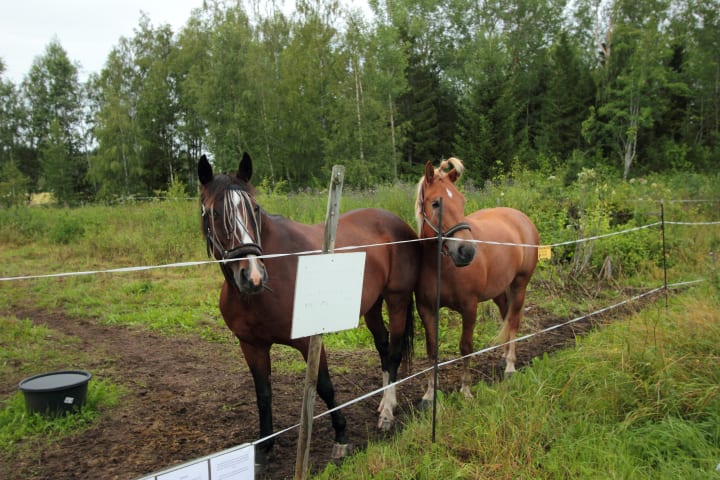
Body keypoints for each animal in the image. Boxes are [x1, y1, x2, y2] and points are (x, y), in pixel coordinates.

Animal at [198, 153, 422, 464]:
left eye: (254, 208)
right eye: (214, 213)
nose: (252, 275)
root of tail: (397, 222)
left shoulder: (310, 340)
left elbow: (324, 386)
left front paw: (342, 438)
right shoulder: (251, 346)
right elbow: (263, 394)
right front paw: (264, 448)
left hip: (397, 300)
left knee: (395, 352)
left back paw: (388, 412)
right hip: (372, 306)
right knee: (384, 347)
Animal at [414, 158, 536, 402]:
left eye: (462, 202)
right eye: (436, 203)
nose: (467, 251)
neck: (441, 267)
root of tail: (521, 218)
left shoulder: (469, 307)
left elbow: (466, 347)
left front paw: (466, 390)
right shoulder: (426, 309)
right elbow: (432, 351)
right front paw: (429, 395)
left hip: (519, 285)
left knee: (513, 321)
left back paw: (510, 366)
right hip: (500, 291)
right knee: (506, 317)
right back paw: (504, 356)